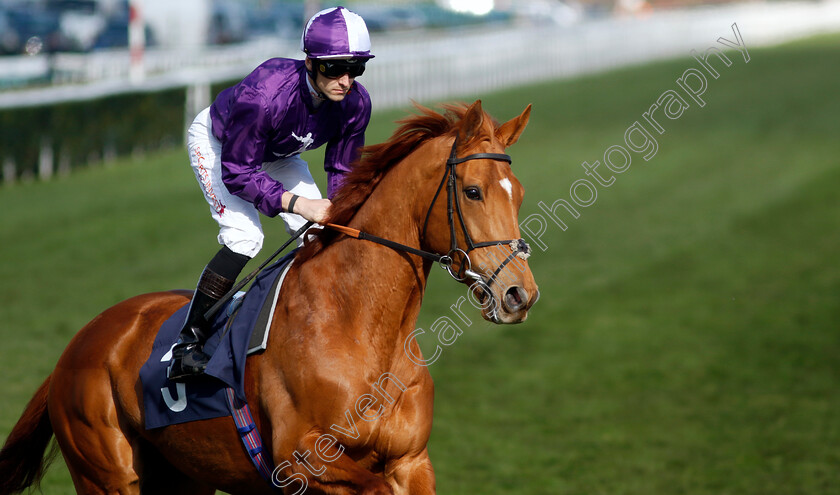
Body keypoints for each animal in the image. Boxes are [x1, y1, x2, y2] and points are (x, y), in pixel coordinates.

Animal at [0, 99, 540, 494]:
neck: (362, 328)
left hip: (184, 477)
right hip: (108, 476)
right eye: (472, 191)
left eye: (518, 192)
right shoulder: (303, 462)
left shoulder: (412, 461)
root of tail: (73, 350)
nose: (519, 293)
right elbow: (369, 484)